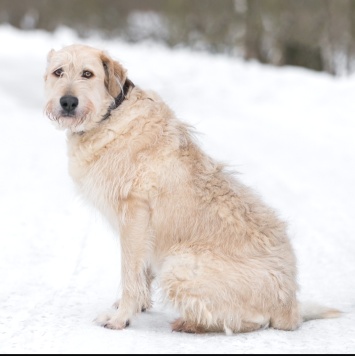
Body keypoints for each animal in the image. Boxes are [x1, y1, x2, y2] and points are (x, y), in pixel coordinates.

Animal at [43, 43, 340, 334]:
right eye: (58, 72)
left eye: (88, 74)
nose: (67, 102)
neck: (110, 117)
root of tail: (290, 306)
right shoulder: (143, 231)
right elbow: (142, 272)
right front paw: (137, 306)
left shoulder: (135, 216)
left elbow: (130, 273)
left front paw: (121, 317)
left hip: (179, 265)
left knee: (251, 321)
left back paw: (193, 324)